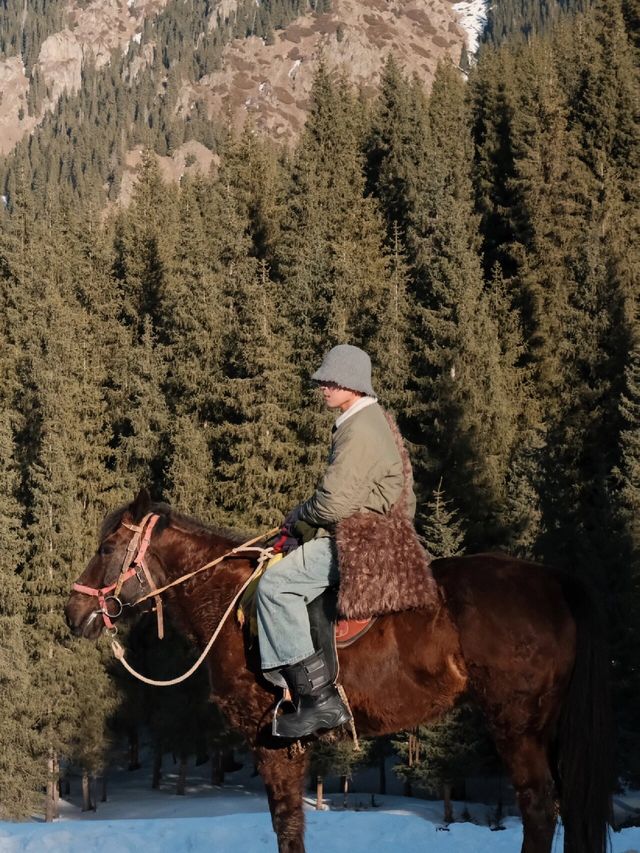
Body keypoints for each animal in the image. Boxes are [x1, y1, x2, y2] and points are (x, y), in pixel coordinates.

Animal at [66, 490, 616, 852]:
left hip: (517, 725)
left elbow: (288, 826)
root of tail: (555, 582)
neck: (228, 602)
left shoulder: (272, 743)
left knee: (539, 808)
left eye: (107, 548)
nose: (75, 611)